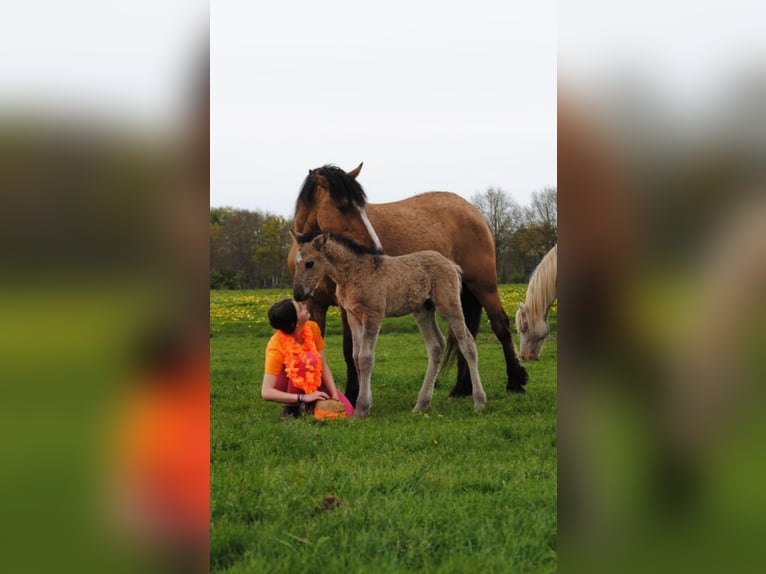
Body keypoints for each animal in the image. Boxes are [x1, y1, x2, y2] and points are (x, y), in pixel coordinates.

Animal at [291, 231, 487, 418]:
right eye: (296, 263)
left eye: (310, 263)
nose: (298, 294)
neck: (352, 273)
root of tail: (452, 265)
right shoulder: (353, 316)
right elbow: (356, 356)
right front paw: (366, 403)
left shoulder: (373, 314)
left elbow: (366, 357)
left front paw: (361, 408)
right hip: (423, 310)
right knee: (436, 345)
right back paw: (421, 404)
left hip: (448, 305)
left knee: (467, 343)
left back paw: (479, 402)